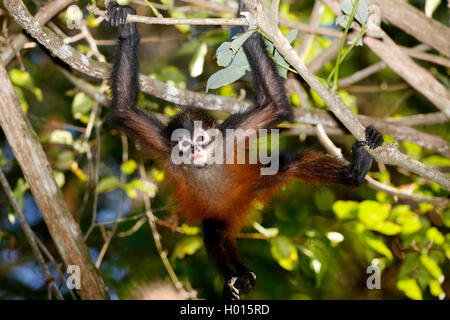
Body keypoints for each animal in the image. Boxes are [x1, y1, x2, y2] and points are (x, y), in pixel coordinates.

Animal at [106, 1, 384, 298]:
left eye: (201, 139)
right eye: (183, 144)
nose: (194, 151)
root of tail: (238, 208)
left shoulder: (233, 133)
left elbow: (275, 106)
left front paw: (247, 17)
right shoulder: (162, 142)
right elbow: (123, 110)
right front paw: (125, 25)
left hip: (256, 183)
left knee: (291, 164)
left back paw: (355, 171)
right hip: (221, 215)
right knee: (215, 234)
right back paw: (238, 279)